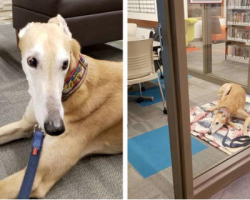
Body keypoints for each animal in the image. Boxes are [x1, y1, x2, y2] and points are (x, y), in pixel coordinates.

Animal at [0, 14, 122, 198]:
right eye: (31, 61)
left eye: (65, 63)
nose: (55, 128)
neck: (74, 86)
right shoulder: (26, 124)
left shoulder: (38, 175)